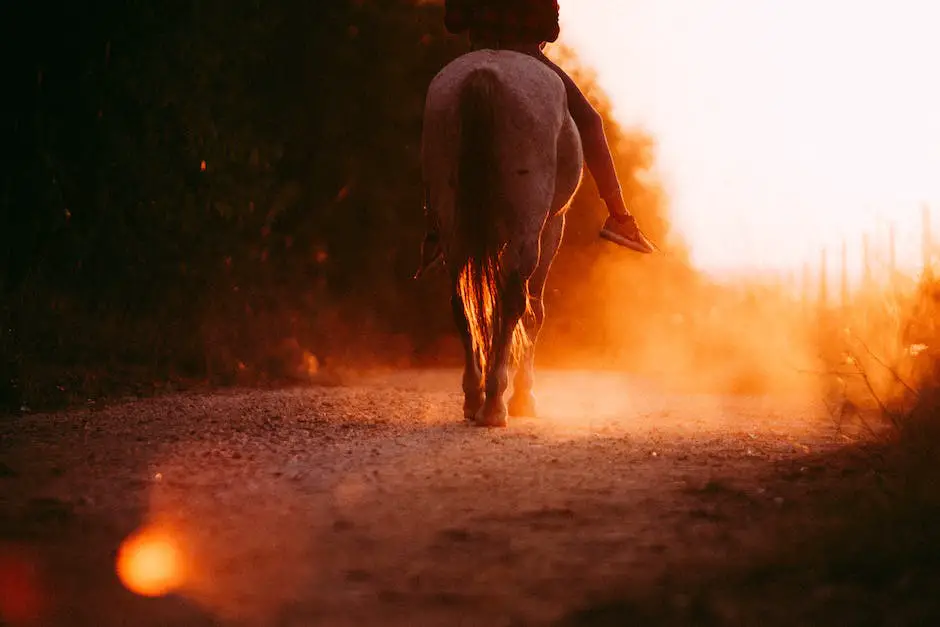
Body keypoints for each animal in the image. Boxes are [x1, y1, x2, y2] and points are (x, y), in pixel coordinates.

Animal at [422, 50, 584, 426]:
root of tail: (484, 76)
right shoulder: (551, 228)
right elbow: (533, 312)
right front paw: (525, 397)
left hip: (453, 224)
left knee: (460, 301)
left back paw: (473, 397)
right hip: (528, 227)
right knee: (514, 302)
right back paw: (495, 403)